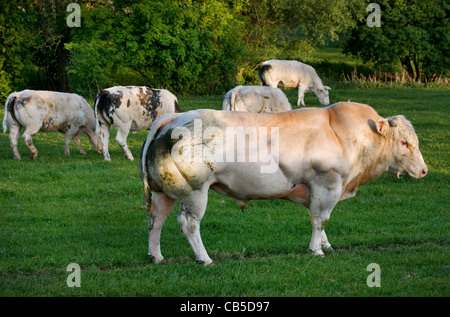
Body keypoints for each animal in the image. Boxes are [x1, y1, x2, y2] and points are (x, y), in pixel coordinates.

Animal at [139, 102, 428, 264]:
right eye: (404, 142)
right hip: (195, 192)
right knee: (188, 224)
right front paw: (317, 250)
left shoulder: (317, 191)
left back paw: (157, 256)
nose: (424, 170)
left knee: (156, 220)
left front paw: (326, 245)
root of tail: (173, 118)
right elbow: (320, 220)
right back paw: (204, 258)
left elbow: (320, 220)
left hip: (164, 192)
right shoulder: (327, 184)